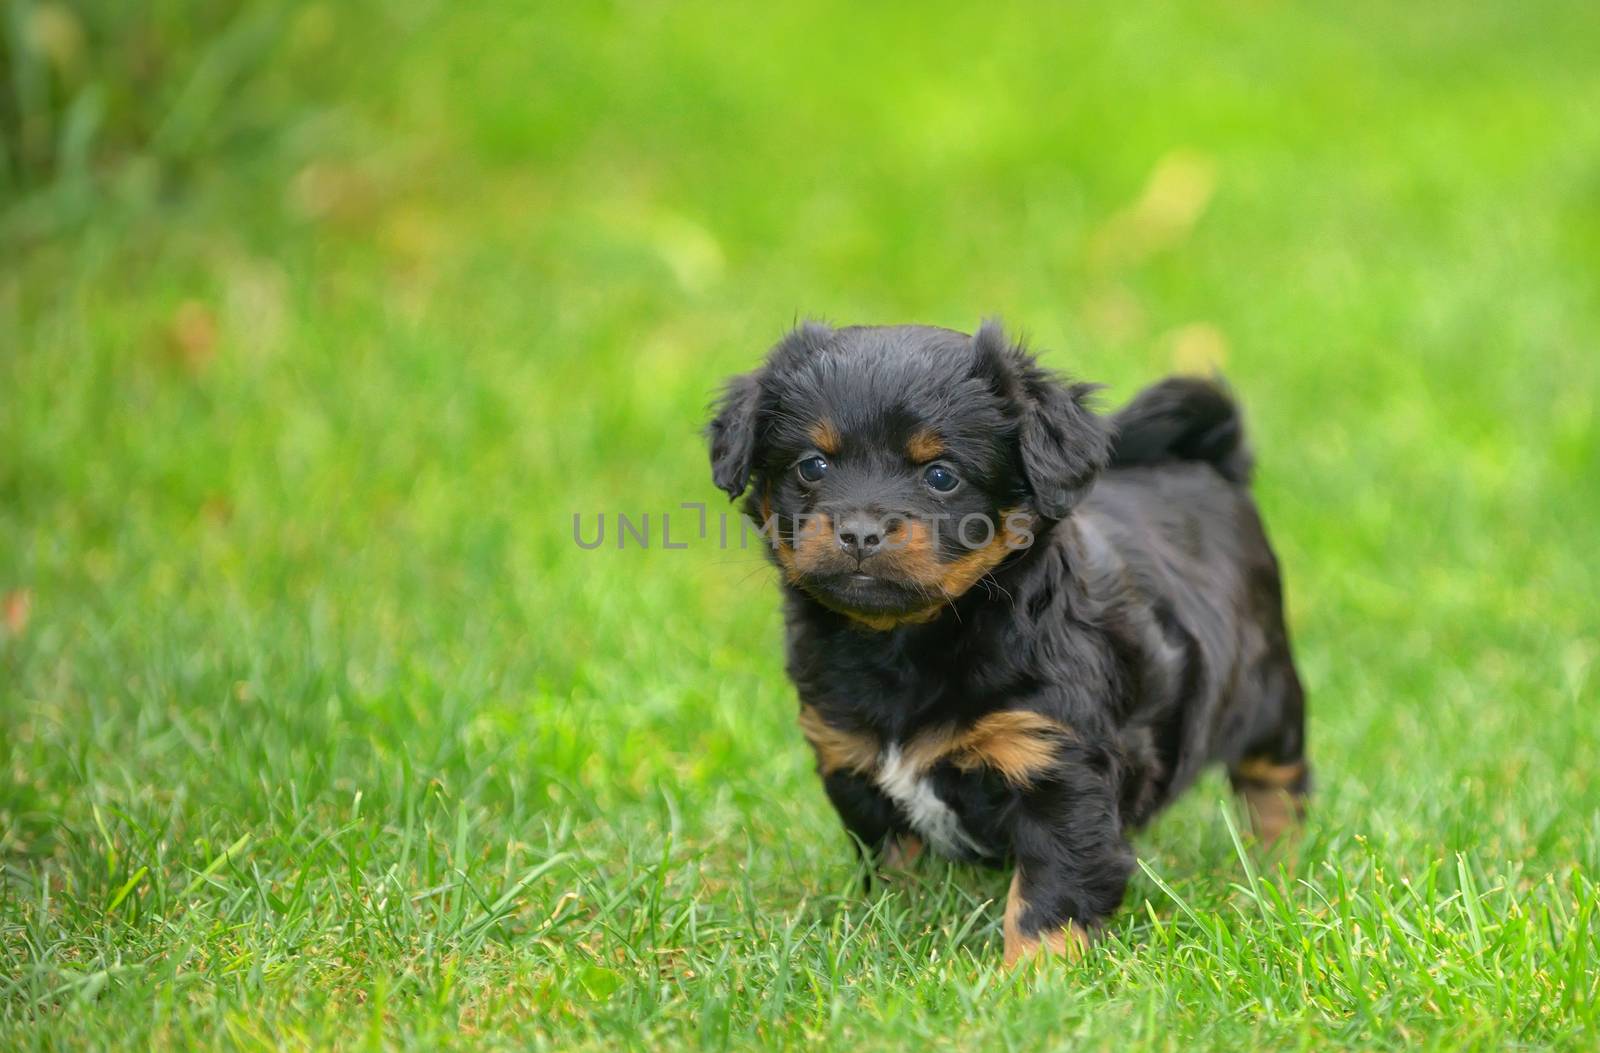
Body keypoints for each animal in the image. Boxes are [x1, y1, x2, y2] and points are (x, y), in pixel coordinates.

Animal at [707, 323, 1305, 966]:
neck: (907, 641)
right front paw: (895, 927)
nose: (860, 532)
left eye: (941, 475)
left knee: (1276, 784)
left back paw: (1276, 870)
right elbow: (895, 865)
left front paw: (1032, 979)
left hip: (1268, 689)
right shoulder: (853, 765)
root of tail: (1208, 463)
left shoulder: (1057, 769)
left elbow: (1048, 895)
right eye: (812, 466)